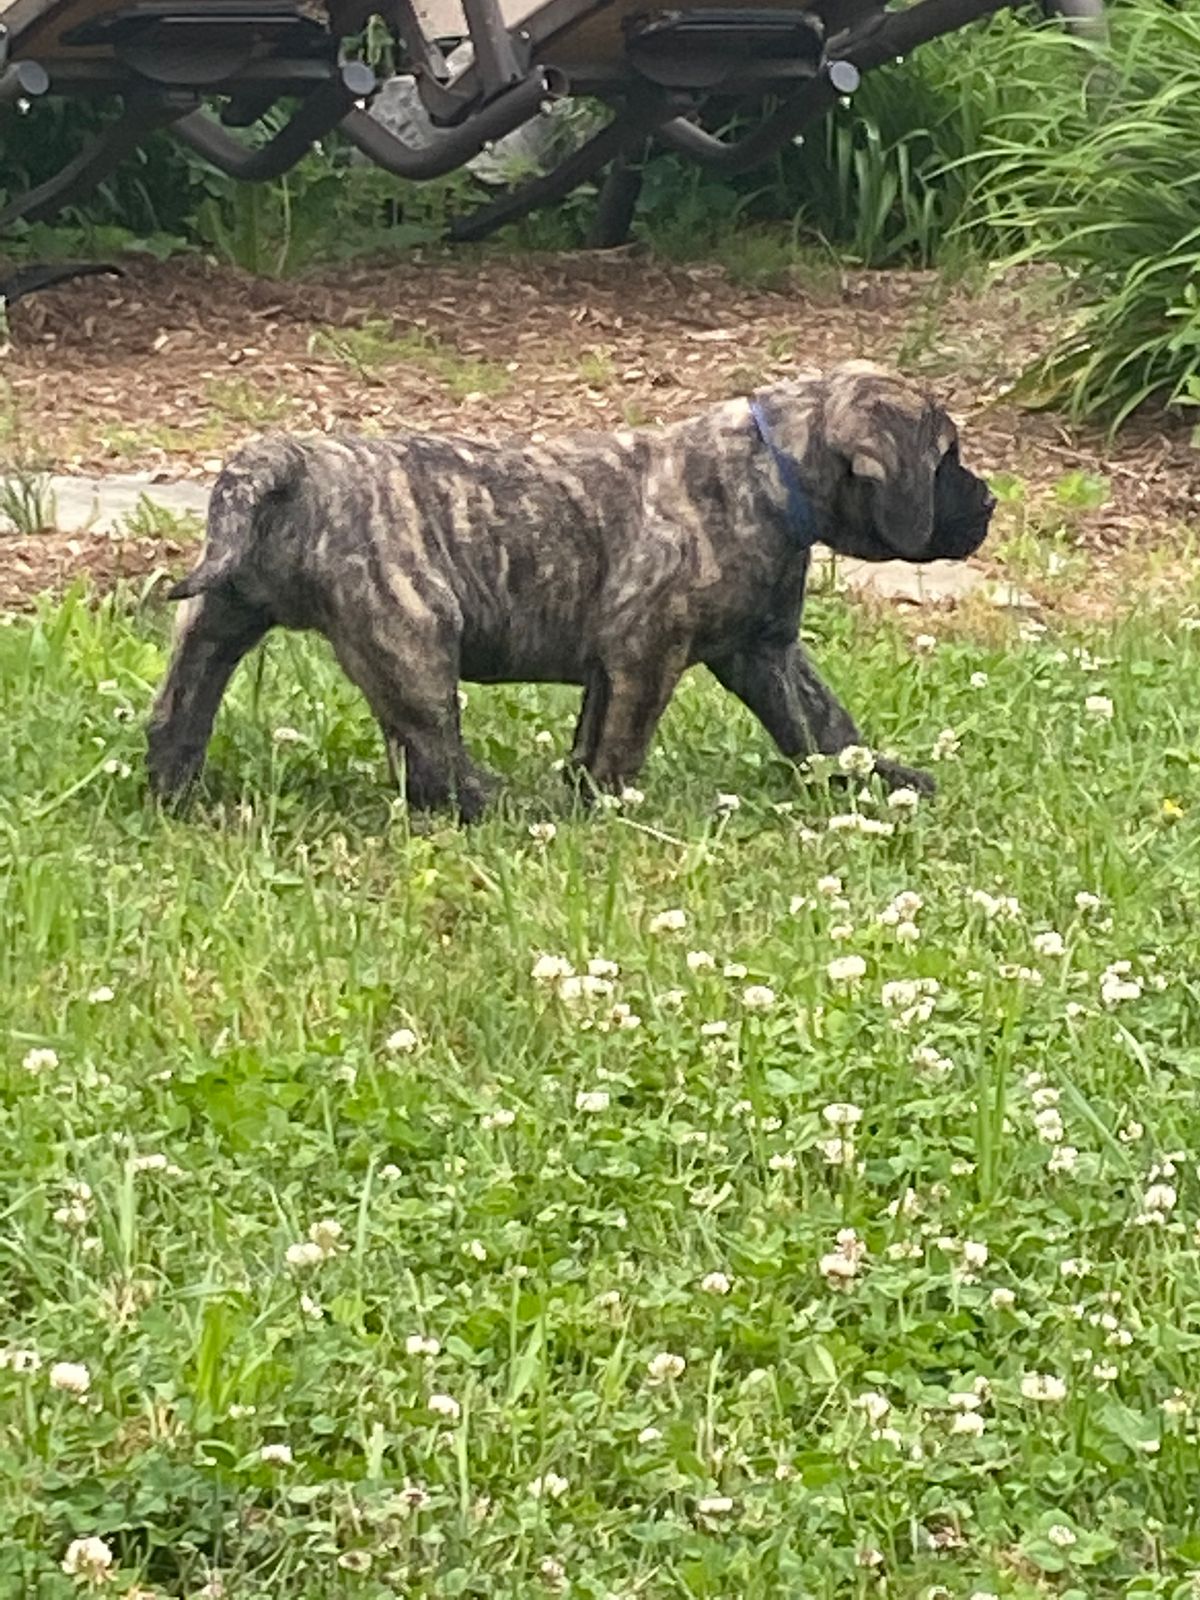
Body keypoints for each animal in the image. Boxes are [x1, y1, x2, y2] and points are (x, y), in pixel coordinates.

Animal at [147, 360, 994, 818]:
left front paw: (879, 778)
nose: (988, 503)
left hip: (219, 618)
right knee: (433, 753)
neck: (772, 472)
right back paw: (494, 808)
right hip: (415, 636)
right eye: (945, 460)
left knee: (180, 710)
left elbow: (824, 727)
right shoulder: (645, 651)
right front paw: (607, 809)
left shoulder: (765, 655)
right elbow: (622, 744)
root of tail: (289, 461)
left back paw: (171, 793)